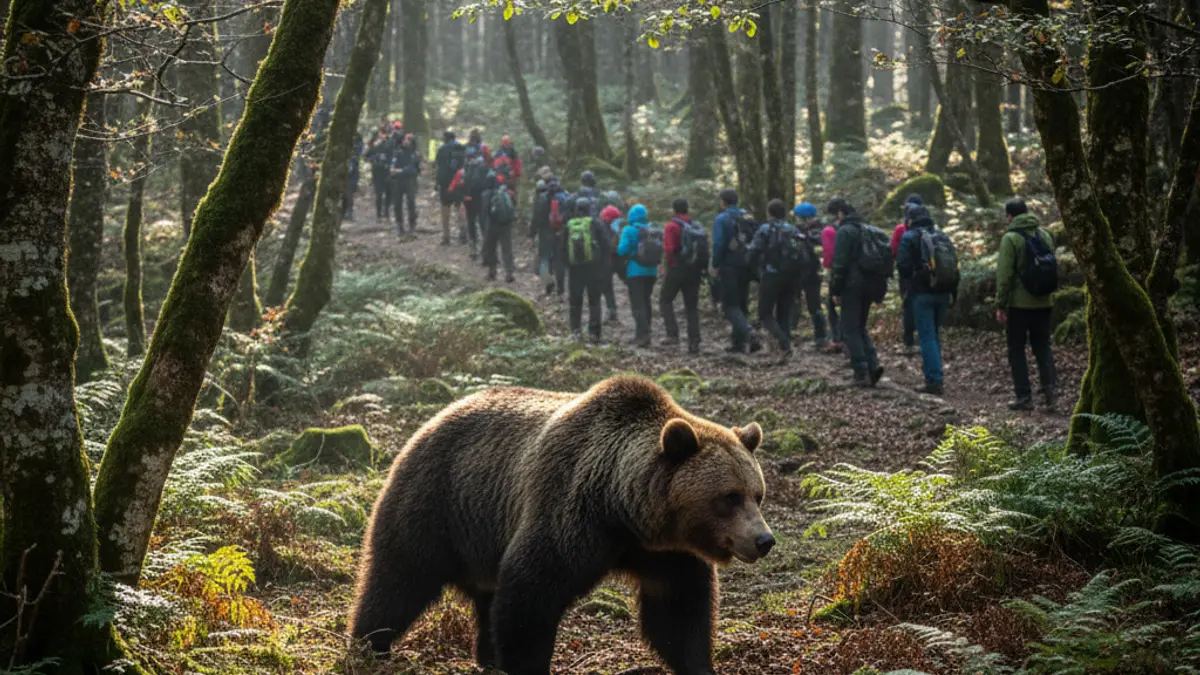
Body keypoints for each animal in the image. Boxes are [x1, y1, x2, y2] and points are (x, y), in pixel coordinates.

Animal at [348, 374, 773, 675]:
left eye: (757, 493)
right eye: (729, 496)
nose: (763, 540)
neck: (623, 512)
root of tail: (433, 418)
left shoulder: (666, 553)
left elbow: (679, 612)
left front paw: (699, 664)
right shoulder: (570, 511)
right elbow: (531, 592)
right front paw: (527, 665)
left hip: (482, 534)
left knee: (483, 595)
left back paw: (486, 656)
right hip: (438, 502)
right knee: (398, 578)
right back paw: (369, 645)